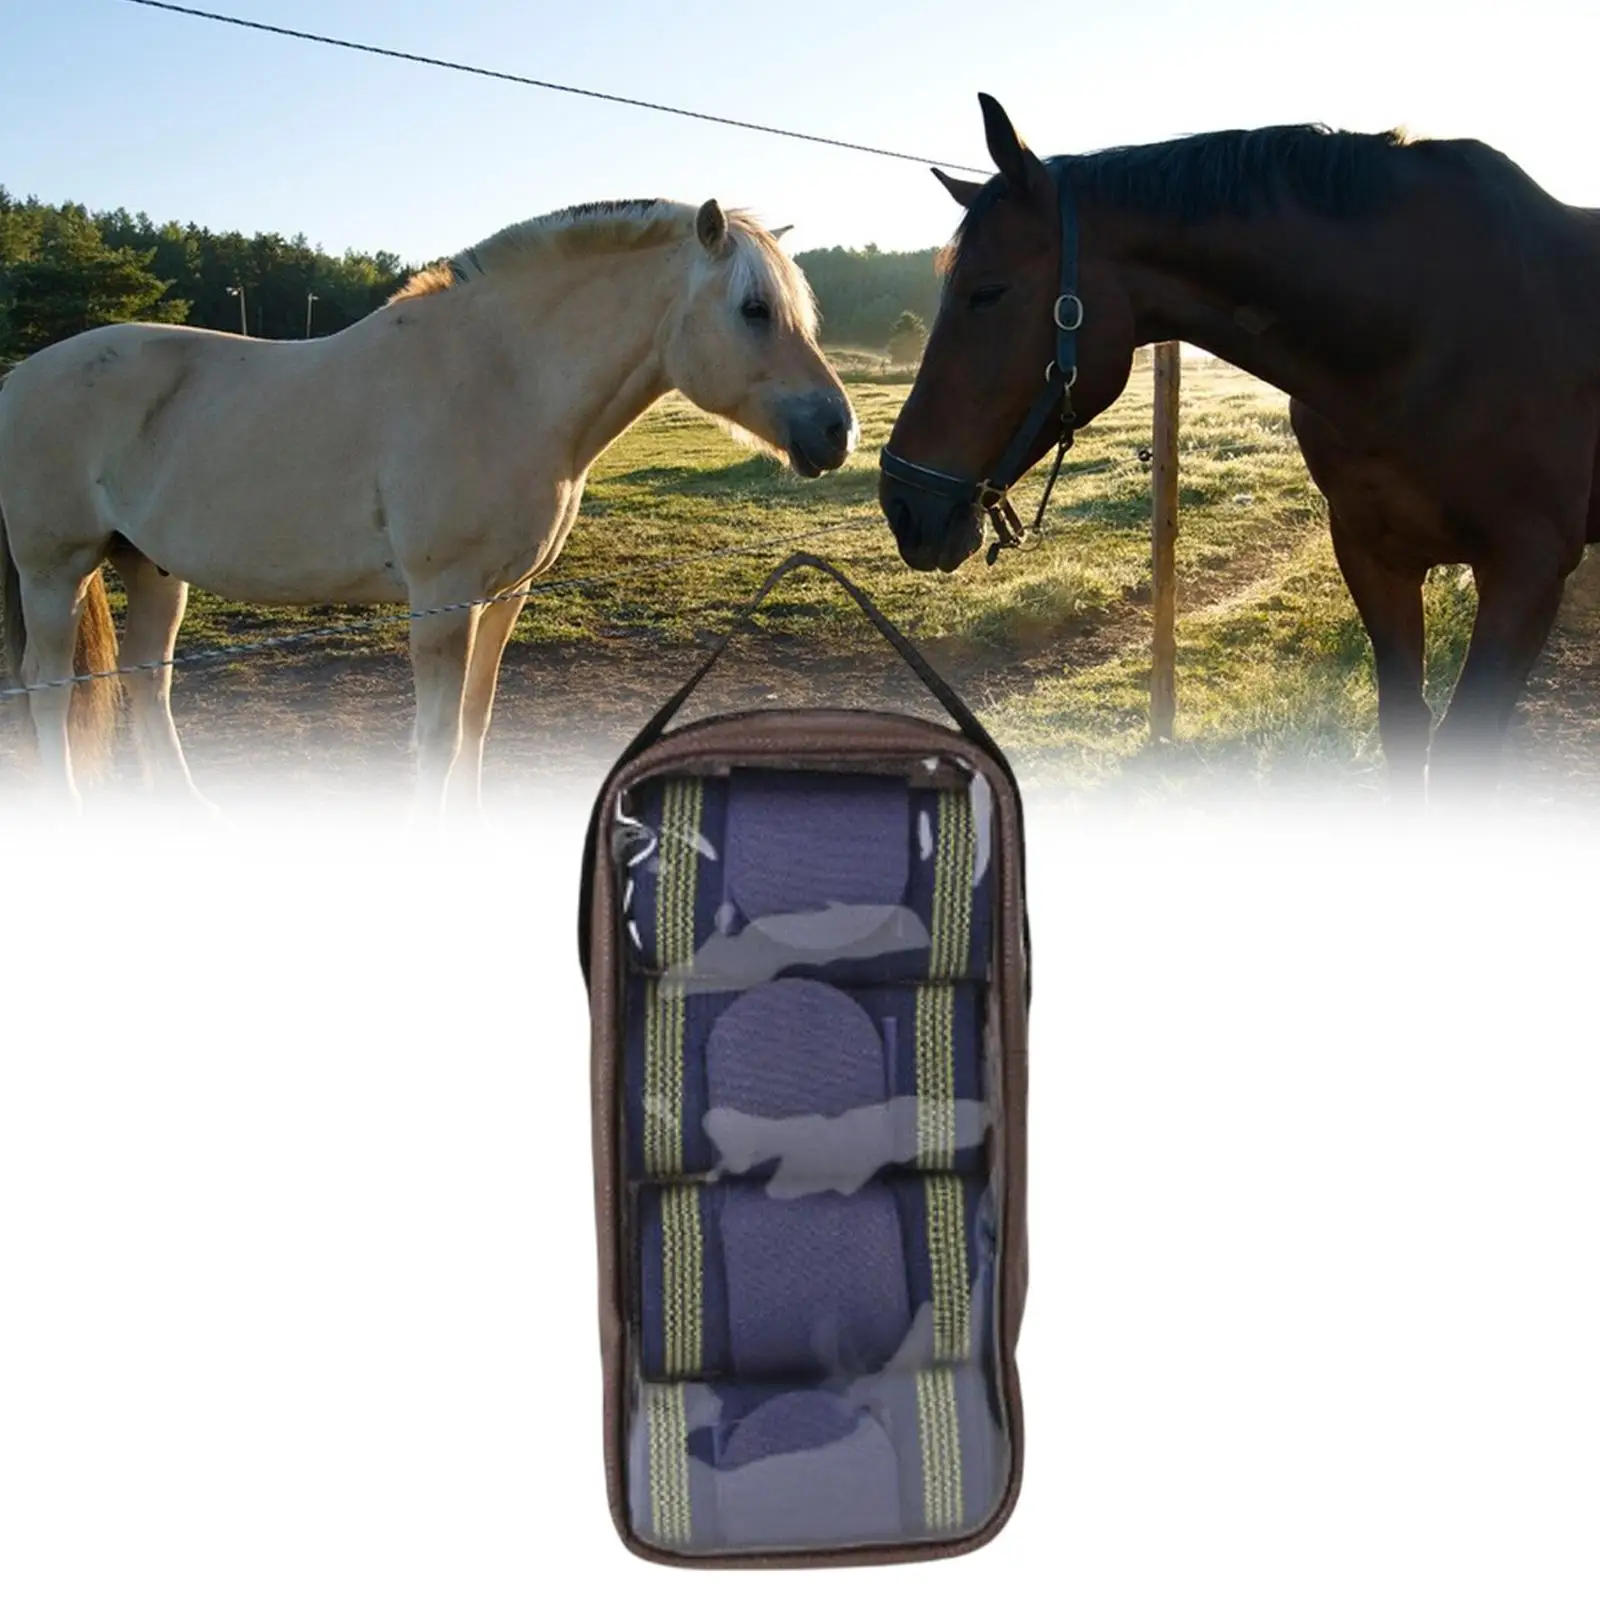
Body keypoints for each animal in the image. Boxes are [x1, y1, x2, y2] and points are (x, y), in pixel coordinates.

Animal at [0, 197, 857, 812]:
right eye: (754, 309)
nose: (837, 430)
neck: (504, 379)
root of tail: (20, 376)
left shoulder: (507, 595)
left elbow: (475, 725)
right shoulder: (444, 600)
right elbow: (437, 740)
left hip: (152, 568)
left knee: (148, 682)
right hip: (54, 572)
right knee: (48, 689)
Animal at [879, 94, 1600, 790]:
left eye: (988, 292)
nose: (903, 503)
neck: (1427, 330)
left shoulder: (1527, 571)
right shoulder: (1375, 556)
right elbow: (1405, 727)